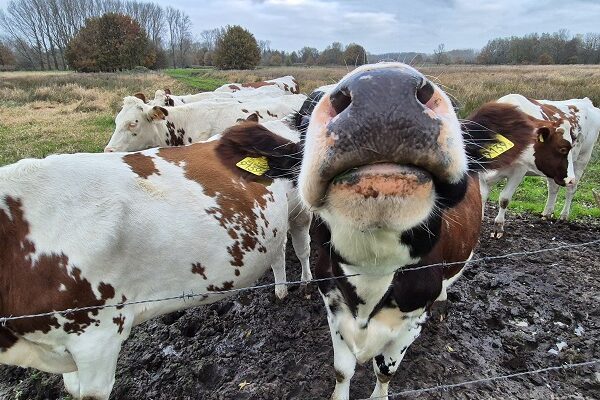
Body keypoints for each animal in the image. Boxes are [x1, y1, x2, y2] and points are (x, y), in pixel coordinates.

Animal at [233, 63, 536, 400]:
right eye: (302, 125)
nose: (383, 90)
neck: (373, 268)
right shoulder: (334, 307)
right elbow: (342, 370)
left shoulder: (411, 321)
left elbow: (385, 370)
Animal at [480, 94, 600, 238]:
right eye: (563, 149)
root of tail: (586, 101)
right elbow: (481, 197)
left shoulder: (519, 171)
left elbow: (504, 199)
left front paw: (498, 228)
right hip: (555, 170)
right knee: (553, 188)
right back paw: (546, 214)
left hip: (582, 160)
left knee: (571, 189)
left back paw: (564, 216)